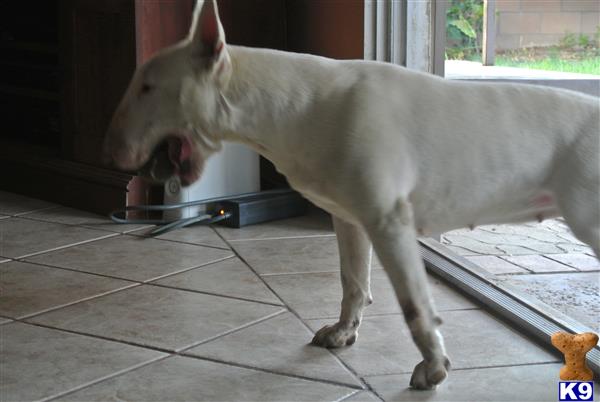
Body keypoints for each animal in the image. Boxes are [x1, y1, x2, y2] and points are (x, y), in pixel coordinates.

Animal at [104, 0, 600, 390]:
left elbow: (415, 306)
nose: (109, 151)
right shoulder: (350, 219)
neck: (297, 108)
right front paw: (343, 333)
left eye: (147, 86)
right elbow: (353, 282)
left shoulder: (389, 222)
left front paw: (433, 369)